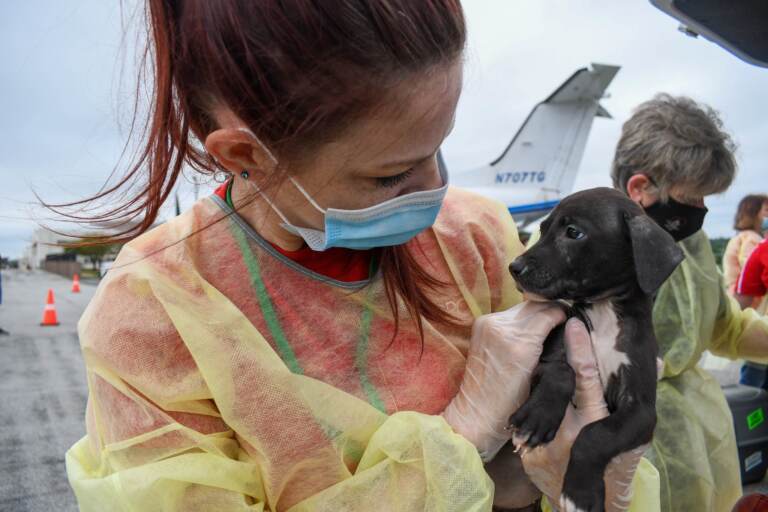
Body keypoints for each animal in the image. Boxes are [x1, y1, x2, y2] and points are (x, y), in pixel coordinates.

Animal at [508, 187, 680, 512]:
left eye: (573, 232)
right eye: (542, 229)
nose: (514, 267)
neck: (603, 312)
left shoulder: (641, 410)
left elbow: (596, 434)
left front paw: (581, 494)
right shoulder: (547, 358)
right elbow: (561, 371)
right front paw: (537, 417)